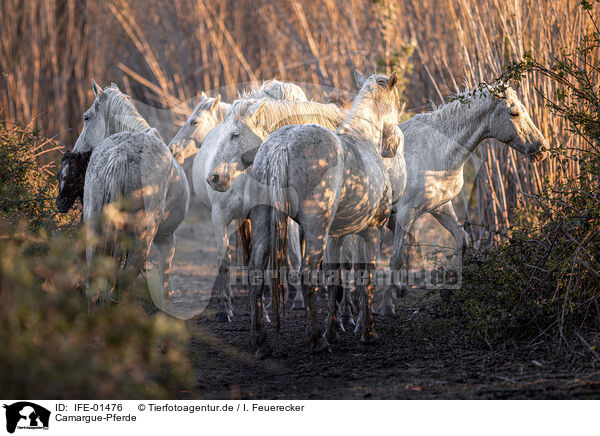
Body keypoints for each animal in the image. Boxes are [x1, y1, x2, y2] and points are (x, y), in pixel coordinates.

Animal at [69, 81, 189, 306]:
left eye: (86, 117)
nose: (76, 152)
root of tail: (120, 155)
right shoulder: (166, 239)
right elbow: (165, 288)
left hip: (94, 231)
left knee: (94, 285)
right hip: (142, 240)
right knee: (124, 286)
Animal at [380, 84, 548, 314]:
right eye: (514, 113)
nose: (542, 148)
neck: (435, 150)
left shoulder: (440, 207)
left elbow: (462, 240)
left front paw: (449, 290)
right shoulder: (407, 212)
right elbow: (396, 257)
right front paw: (386, 306)